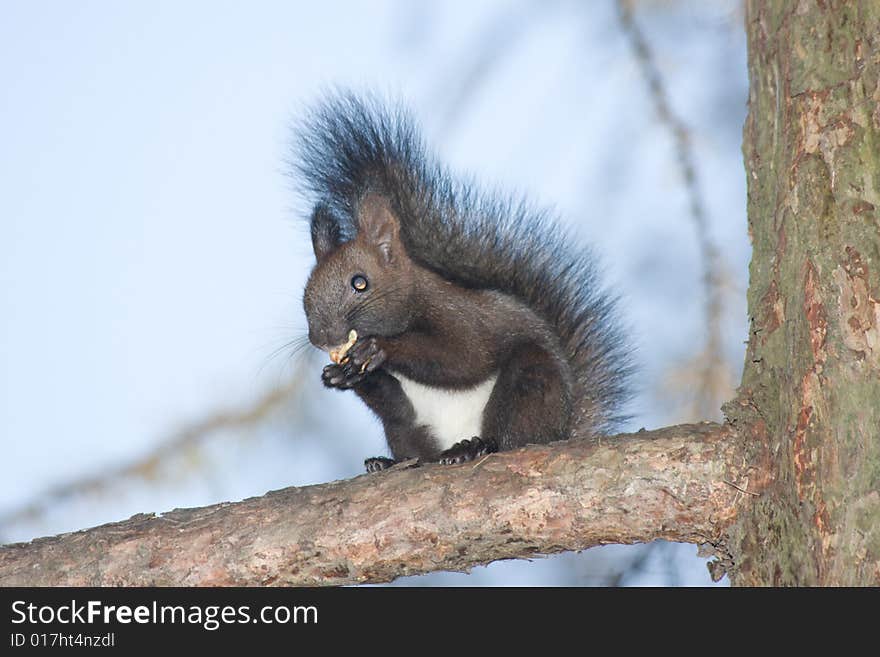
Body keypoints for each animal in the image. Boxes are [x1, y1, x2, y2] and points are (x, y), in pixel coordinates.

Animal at [296, 92, 632, 472]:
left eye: (360, 283)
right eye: (305, 292)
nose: (322, 337)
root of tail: (562, 429)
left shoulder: (462, 316)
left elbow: (463, 357)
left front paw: (379, 348)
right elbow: (391, 395)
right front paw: (341, 376)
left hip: (531, 382)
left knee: (514, 434)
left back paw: (475, 446)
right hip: (409, 429)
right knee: (410, 435)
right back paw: (389, 461)